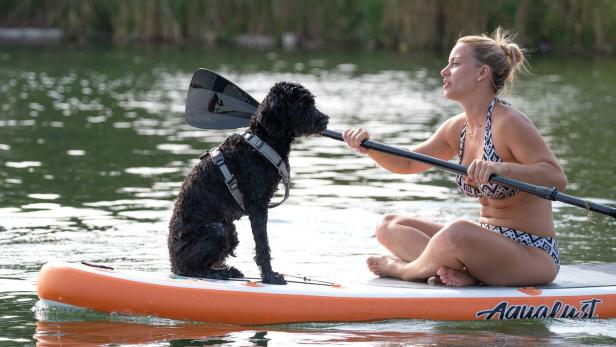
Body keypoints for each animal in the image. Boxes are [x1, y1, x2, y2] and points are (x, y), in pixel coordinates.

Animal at [166, 82, 330, 286]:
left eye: (311, 102)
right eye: (301, 104)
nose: (325, 119)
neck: (262, 143)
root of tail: (172, 261)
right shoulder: (257, 206)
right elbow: (262, 245)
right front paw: (270, 277)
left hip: (230, 231)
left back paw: (227, 270)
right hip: (217, 230)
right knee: (189, 270)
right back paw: (217, 273)